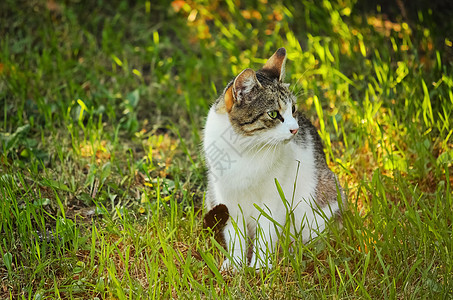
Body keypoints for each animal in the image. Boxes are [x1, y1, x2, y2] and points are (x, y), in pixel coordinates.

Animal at [201, 48, 342, 270]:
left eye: (293, 109)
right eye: (274, 114)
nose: (295, 129)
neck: (245, 148)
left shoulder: (272, 199)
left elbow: (266, 232)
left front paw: (259, 267)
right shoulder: (227, 199)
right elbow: (235, 235)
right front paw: (235, 266)